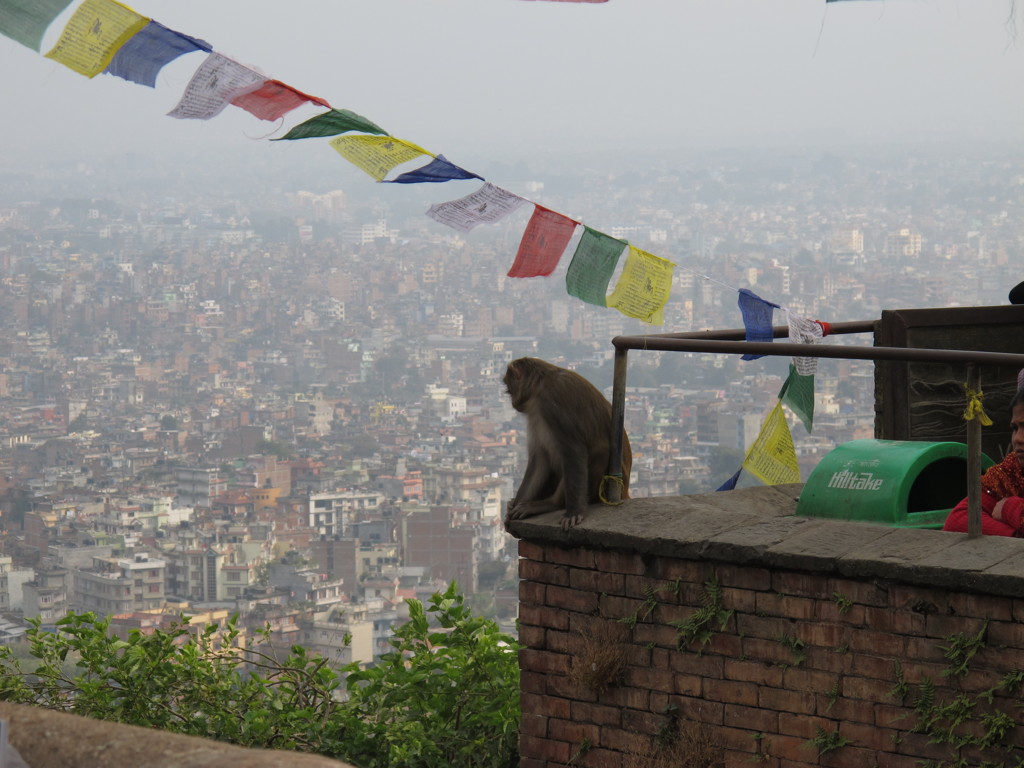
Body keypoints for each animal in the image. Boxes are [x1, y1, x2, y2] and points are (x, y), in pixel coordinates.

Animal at [499, 358, 626, 532]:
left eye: (509, 388)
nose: (512, 402)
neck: (540, 384)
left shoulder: (551, 403)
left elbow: (574, 451)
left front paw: (574, 512)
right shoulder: (536, 413)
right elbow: (540, 459)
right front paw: (514, 506)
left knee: (597, 451)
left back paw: (552, 504)